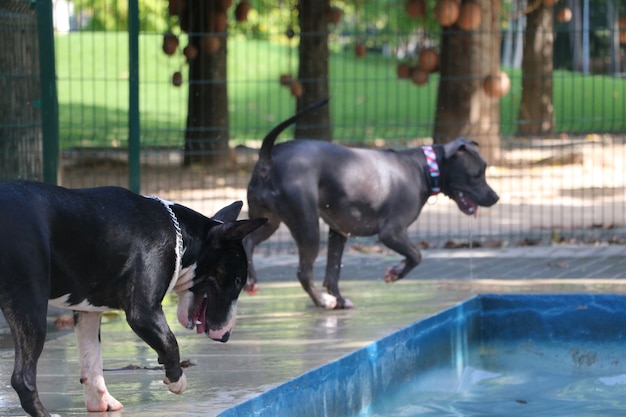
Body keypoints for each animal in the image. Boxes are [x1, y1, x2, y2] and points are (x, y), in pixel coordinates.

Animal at [0, 181, 266, 416]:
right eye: (238, 281)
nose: (226, 337)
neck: (182, 236)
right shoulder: (144, 313)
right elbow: (170, 342)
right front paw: (176, 380)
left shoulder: (88, 311)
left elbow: (92, 359)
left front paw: (102, 402)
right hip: (31, 308)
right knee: (23, 377)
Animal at [244, 100, 498, 308]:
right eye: (477, 175)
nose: (495, 197)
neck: (425, 168)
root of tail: (268, 158)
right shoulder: (391, 232)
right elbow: (416, 255)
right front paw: (394, 273)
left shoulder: (338, 232)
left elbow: (332, 273)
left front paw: (341, 300)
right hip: (307, 228)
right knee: (303, 273)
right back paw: (322, 301)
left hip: (269, 222)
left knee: (248, 242)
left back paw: (251, 280)